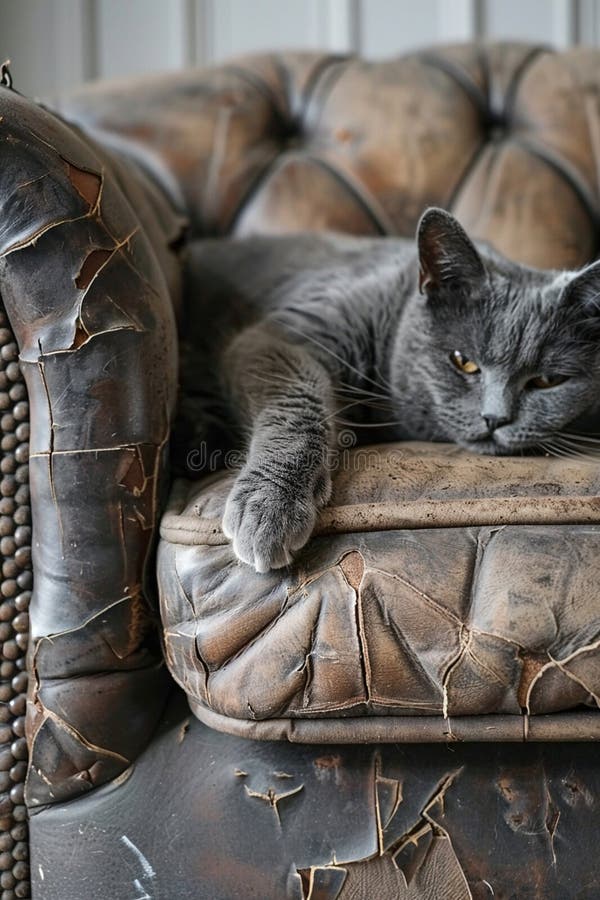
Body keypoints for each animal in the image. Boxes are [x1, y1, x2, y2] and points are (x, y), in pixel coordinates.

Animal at [180, 210, 600, 568]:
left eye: (547, 381)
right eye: (463, 361)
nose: (495, 418)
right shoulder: (279, 336)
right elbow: (298, 401)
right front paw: (270, 503)